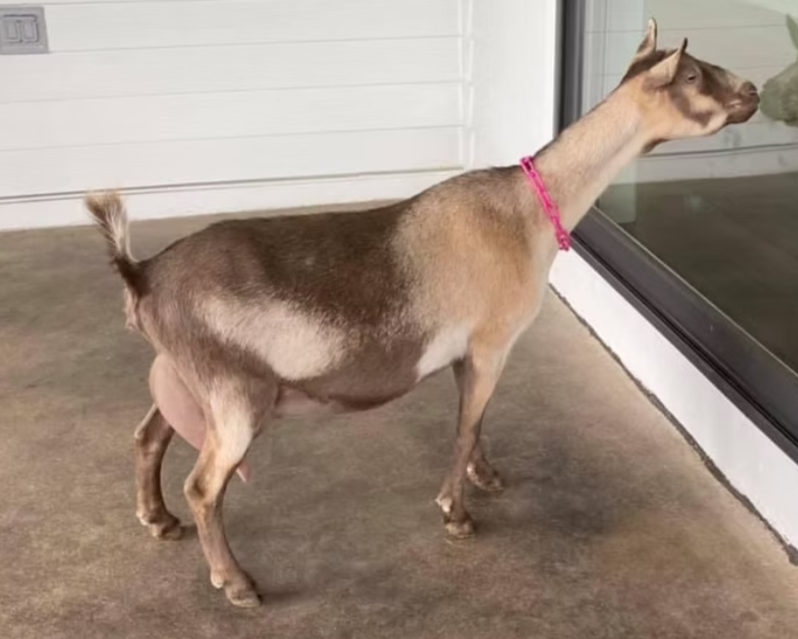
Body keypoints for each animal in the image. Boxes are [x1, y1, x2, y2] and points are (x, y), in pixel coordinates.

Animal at [86, 19, 759, 607]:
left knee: (148, 436)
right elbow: (464, 426)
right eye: (693, 74)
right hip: (233, 393)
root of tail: (141, 273)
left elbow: (476, 423)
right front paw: (456, 514)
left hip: (185, 378)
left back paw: (158, 520)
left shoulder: (469, 351)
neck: (524, 213)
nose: (752, 91)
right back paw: (237, 584)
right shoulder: (492, 341)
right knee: (205, 486)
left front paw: (486, 479)